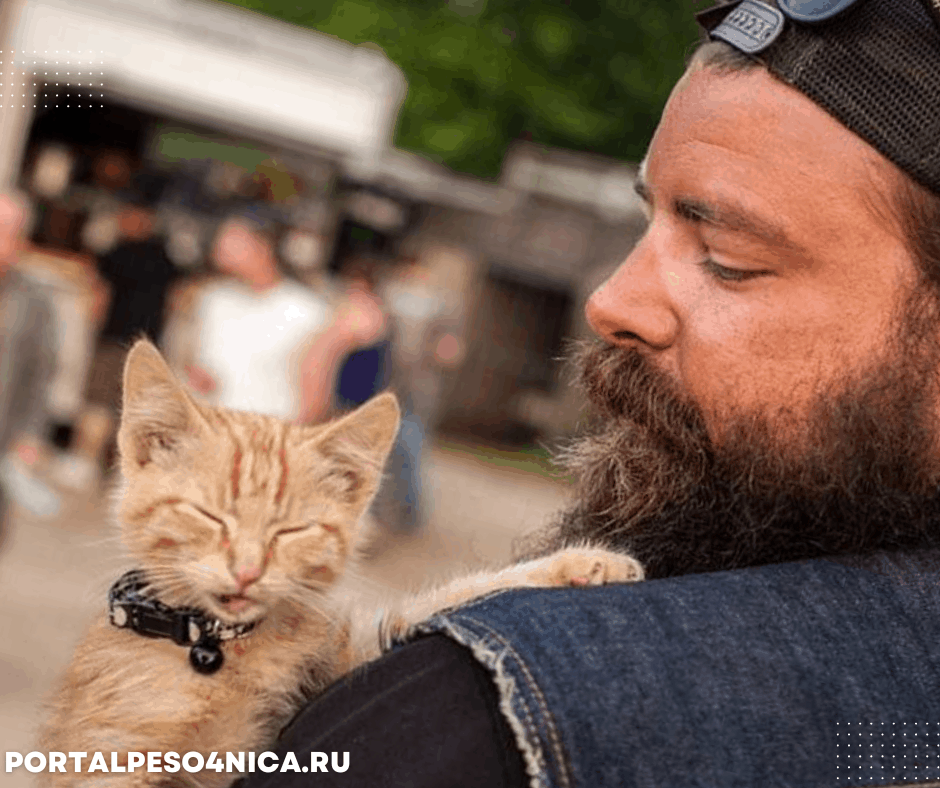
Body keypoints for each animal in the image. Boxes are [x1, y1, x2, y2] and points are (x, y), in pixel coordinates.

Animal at [36, 342, 640, 784]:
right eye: (210, 517)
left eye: (291, 531)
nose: (247, 570)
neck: (219, 650)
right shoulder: (111, 757)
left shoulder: (346, 661)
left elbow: (435, 604)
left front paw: (585, 563)